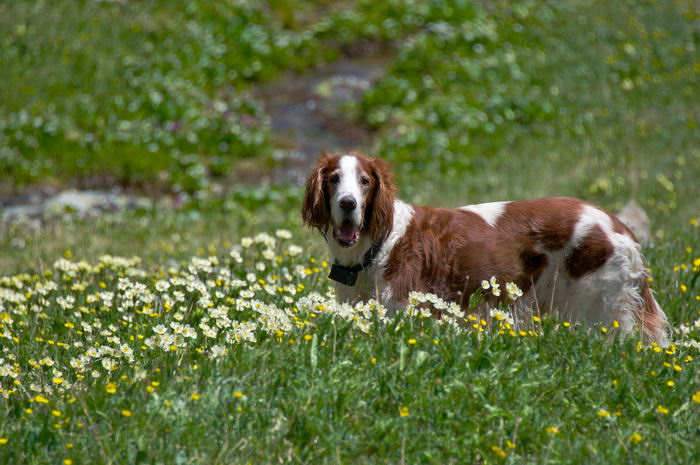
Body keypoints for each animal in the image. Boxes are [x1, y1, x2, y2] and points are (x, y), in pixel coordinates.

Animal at [300, 150, 668, 342]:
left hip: (598, 309)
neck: (377, 246)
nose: (348, 204)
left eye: (365, 181)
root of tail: (618, 226)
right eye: (333, 179)